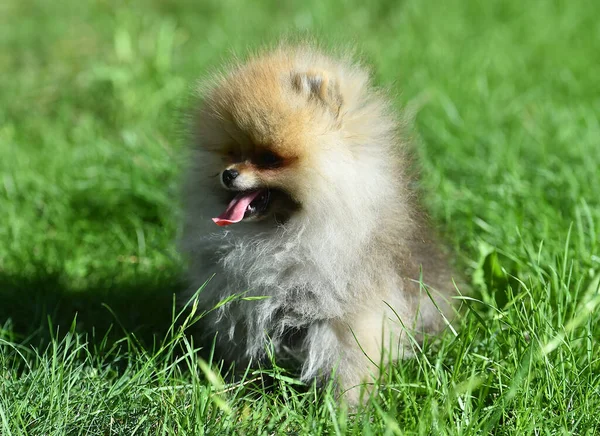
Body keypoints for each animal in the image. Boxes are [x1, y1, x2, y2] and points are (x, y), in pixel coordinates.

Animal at [180, 43, 458, 402]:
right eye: (230, 152)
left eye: (269, 158)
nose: (228, 174)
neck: (281, 234)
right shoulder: (243, 309)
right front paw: (242, 385)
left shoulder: (347, 311)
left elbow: (351, 360)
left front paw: (347, 407)